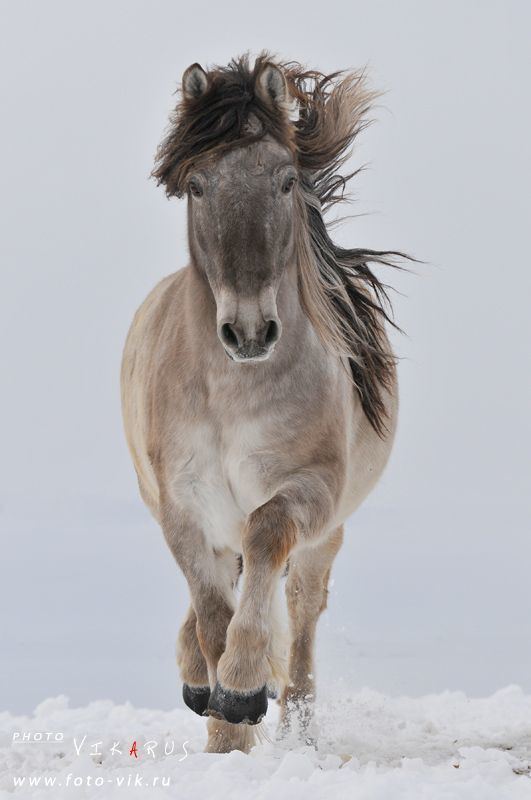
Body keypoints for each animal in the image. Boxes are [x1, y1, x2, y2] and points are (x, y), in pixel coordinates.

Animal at [121, 54, 403, 754]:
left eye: (284, 180)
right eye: (197, 185)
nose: (248, 332)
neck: (231, 394)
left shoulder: (309, 490)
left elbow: (268, 533)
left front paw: (244, 689)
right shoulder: (183, 506)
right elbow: (210, 612)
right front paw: (225, 735)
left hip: (324, 539)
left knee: (299, 616)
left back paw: (294, 726)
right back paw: (202, 683)